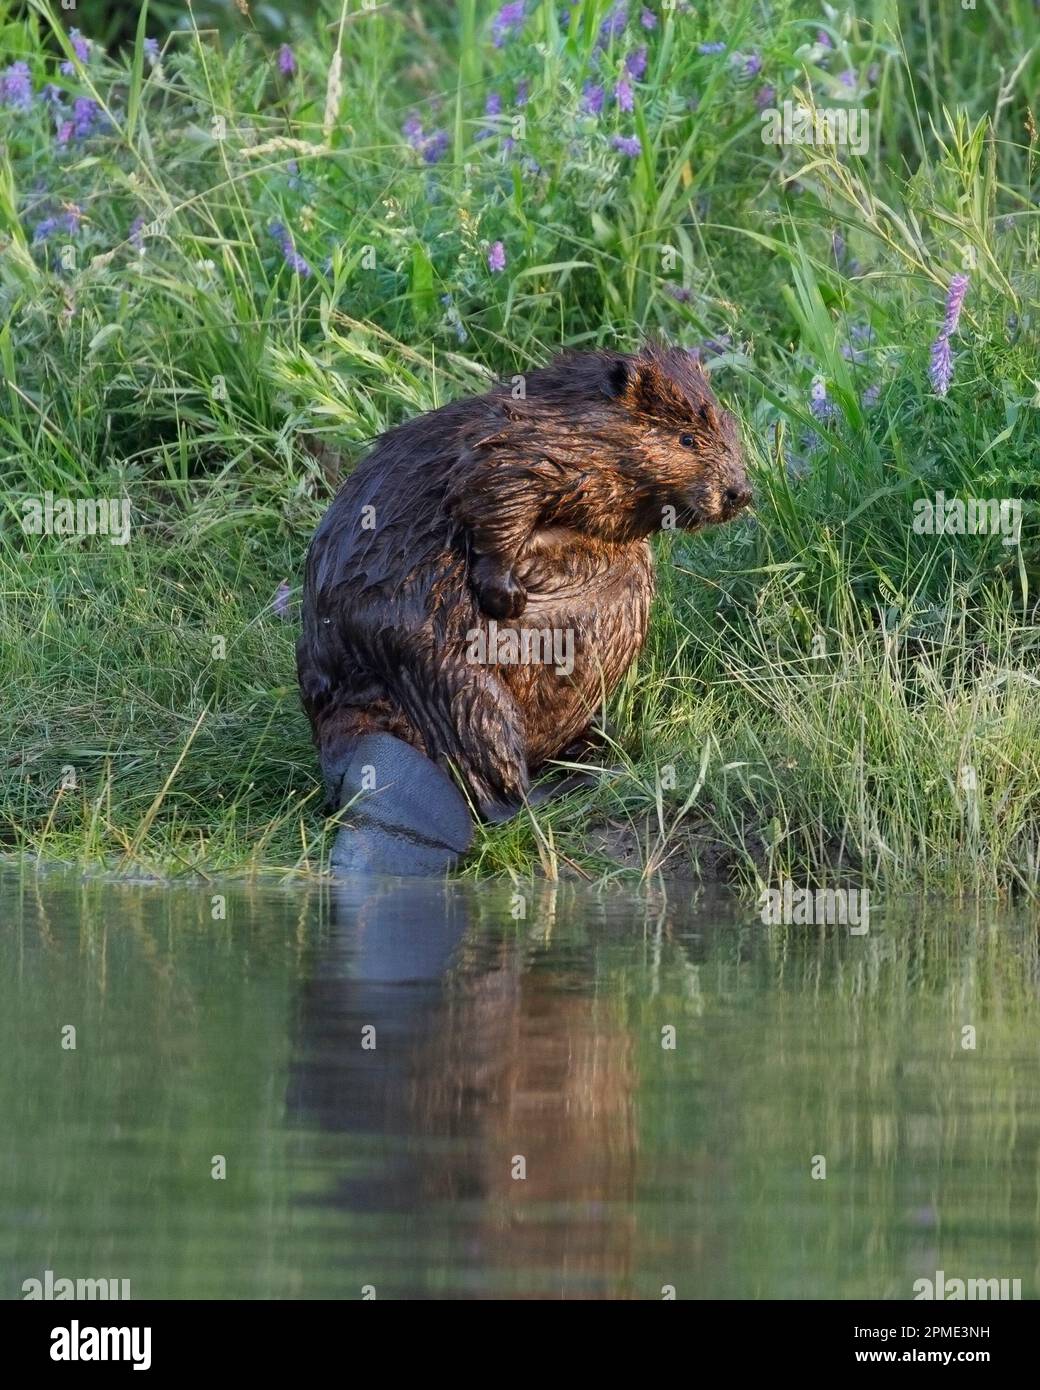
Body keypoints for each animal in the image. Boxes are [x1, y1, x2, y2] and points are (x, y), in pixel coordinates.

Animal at [296, 339, 750, 867]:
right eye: (687, 440)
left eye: (729, 427)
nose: (740, 493)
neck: (576, 415)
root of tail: (360, 751)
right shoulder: (522, 446)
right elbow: (489, 495)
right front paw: (508, 594)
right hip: (452, 677)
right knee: (493, 781)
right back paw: (572, 784)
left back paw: (606, 745)